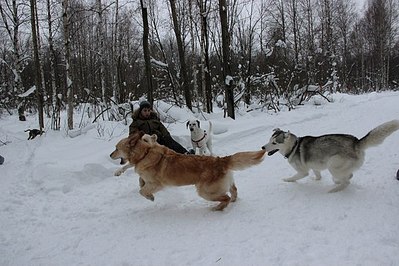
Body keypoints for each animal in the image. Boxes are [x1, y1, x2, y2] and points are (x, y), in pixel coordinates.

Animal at [109, 132, 268, 211]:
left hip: (204, 191)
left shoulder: (155, 184)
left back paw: (217, 208)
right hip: (224, 184)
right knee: (233, 191)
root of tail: (221, 160)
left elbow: (142, 191)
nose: (110, 155)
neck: (145, 153)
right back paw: (232, 201)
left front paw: (151, 197)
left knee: (226, 197)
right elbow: (140, 184)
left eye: (116, 148)